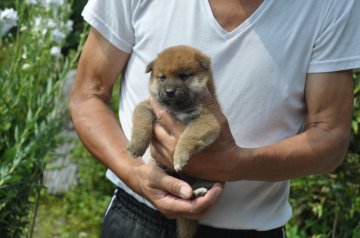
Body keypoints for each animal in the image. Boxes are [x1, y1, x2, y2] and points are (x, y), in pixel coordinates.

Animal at [128, 45, 221, 238]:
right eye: (162, 77)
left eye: (184, 76)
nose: (169, 92)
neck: (177, 109)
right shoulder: (146, 106)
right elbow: (141, 124)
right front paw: (136, 145)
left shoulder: (207, 120)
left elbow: (187, 136)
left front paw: (179, 157)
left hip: (209, 176)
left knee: (196, 189)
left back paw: (199, 191)